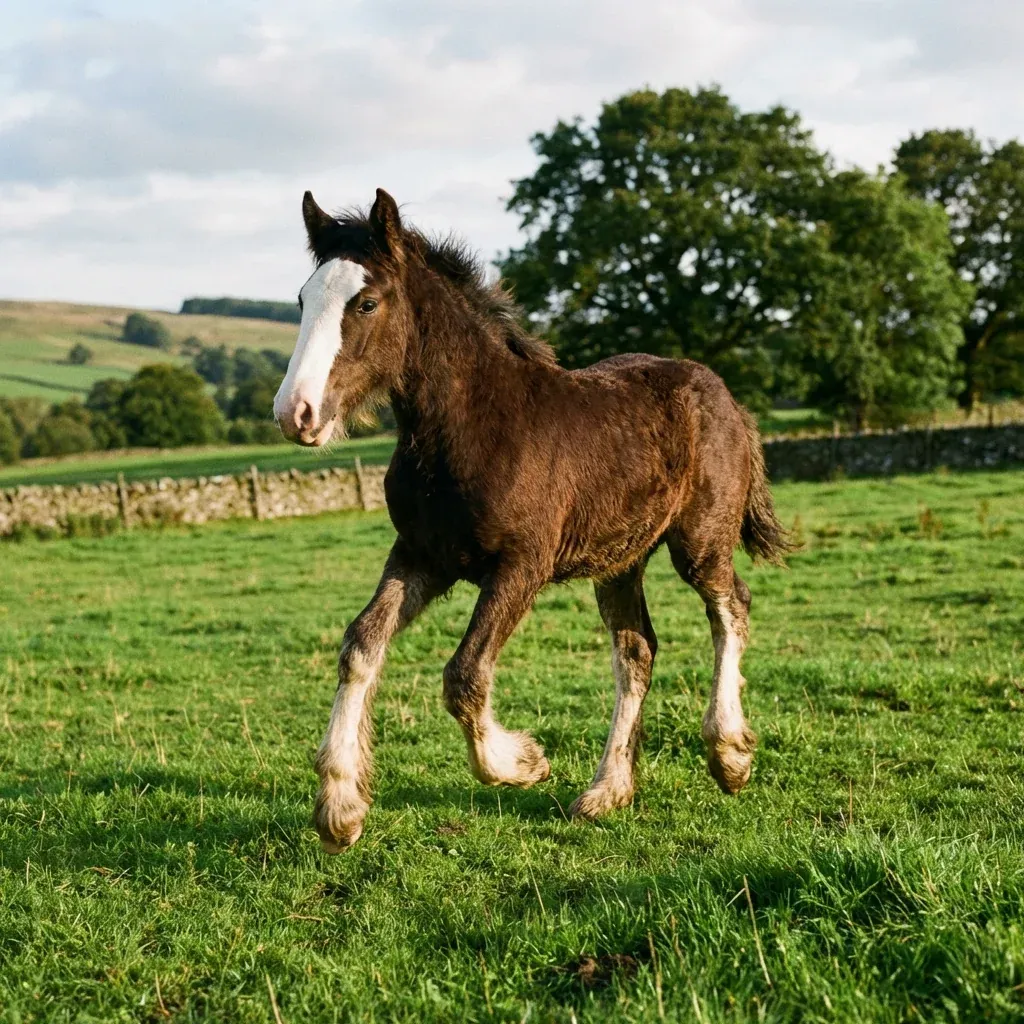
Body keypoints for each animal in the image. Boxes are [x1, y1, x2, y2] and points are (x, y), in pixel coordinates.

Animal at [273, 188, 789, 852]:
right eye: (303, 299)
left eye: (365, 303)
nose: (296, 413)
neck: (468, 428)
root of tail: (726, 395)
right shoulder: (419, 555)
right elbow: (361, 645)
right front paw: (340, 808)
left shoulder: (523, 562)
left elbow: (464, 674)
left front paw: (521, 764)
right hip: (619, 560)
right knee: (637, 650)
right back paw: (606, 792)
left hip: (700, 542)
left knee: (730, 607)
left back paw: (729, 756)